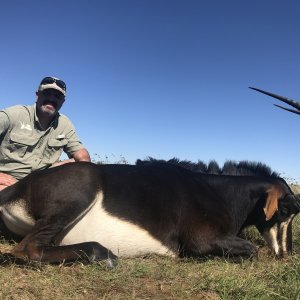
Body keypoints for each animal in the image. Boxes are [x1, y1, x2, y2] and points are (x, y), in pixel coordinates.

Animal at [0, 159, 298, 264]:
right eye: (286, 210)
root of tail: (11, 190)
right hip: (81, 189)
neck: (217, 192)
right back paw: (104, 255)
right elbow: (253, 250)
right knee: (27, 250)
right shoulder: (201, 240)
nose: (286, 254)